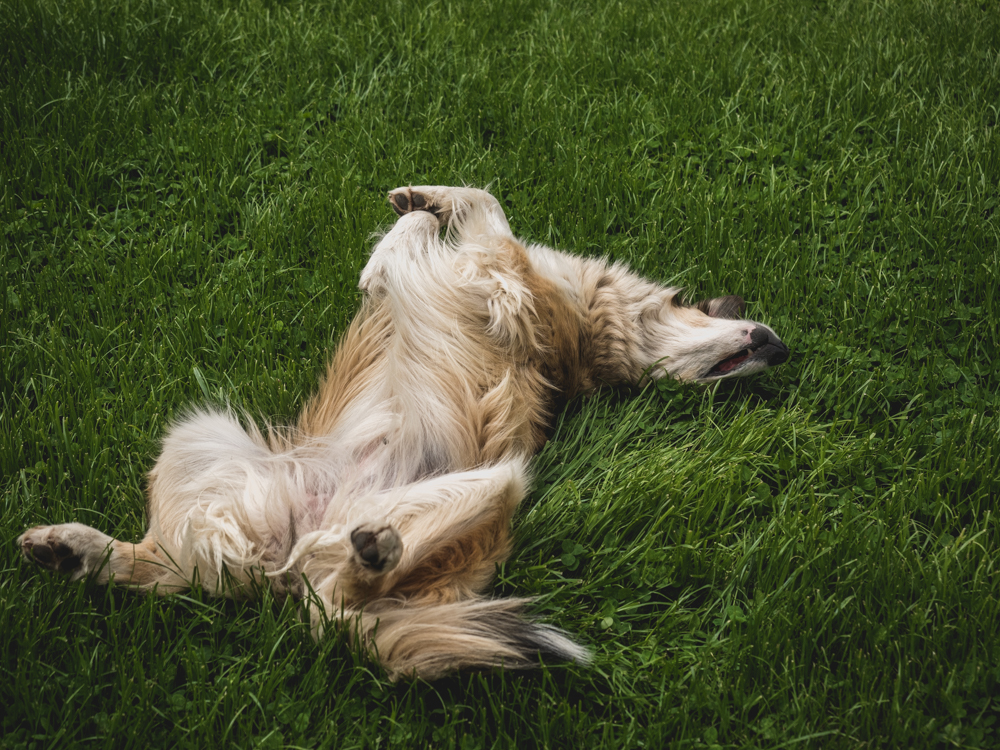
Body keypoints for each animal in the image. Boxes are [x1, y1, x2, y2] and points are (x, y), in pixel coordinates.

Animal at [11, 187, 784, 680]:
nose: (782, 350)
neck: (596, 342)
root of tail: (294, 551)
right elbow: (470, 212)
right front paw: (420, 206)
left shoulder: (510, 283)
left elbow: (480, 213)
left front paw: (411, 221)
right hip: (198, 437)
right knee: (177, 569)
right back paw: (74, 551)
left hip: (494, 484)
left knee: (327, 602)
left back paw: (370, 555)